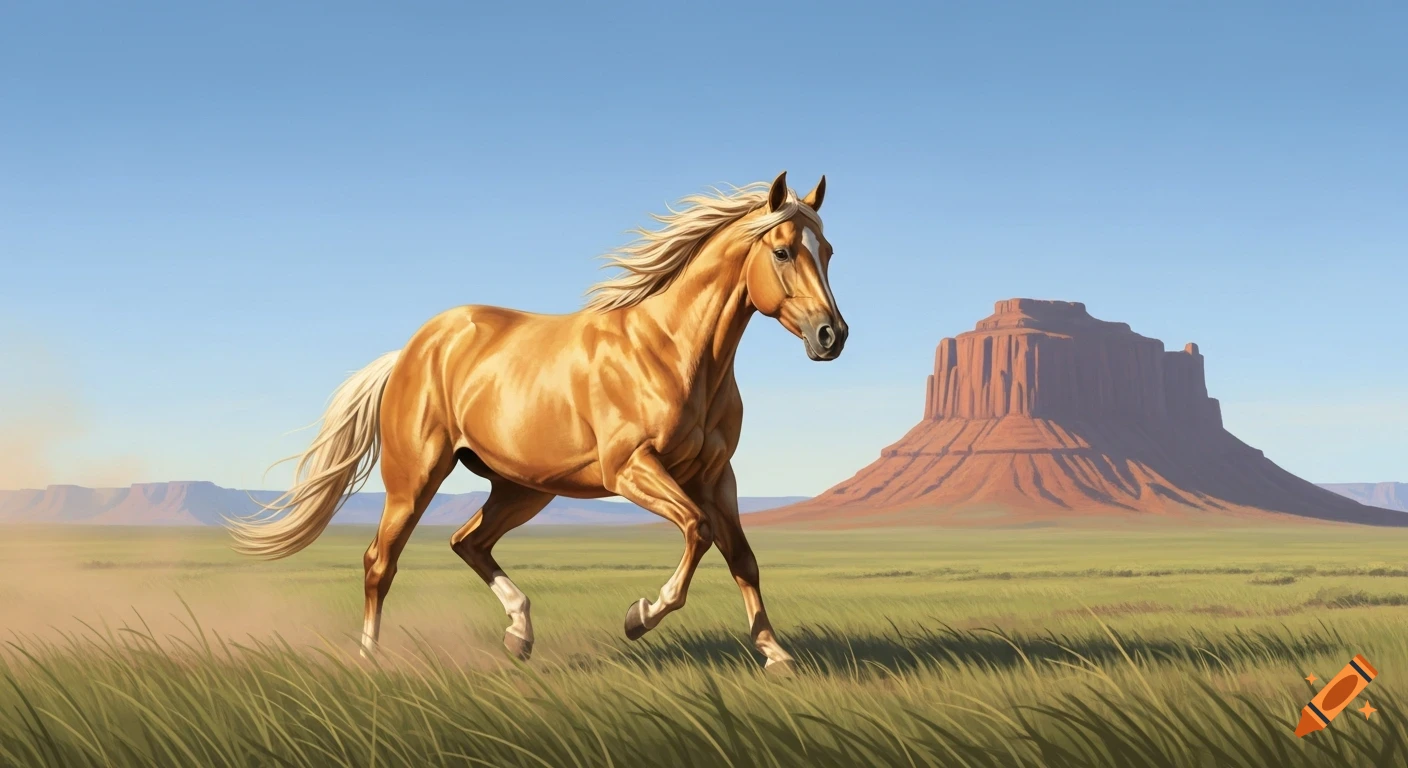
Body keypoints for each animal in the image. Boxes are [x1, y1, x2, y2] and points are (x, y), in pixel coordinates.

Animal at [228, 171, 847, 673]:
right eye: (784, 252)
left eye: (829, 250)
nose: (831, 336)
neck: (671, 351)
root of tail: (409, 352)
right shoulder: (631, 469)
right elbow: (698, 530)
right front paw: (638, 616)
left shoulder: (717, 474)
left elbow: (742, 557)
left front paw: (775, 655)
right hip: (415, 478)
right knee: (381, 560)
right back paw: (369, 658)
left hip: (524, 487)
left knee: (468, 541)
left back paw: (519, 634)